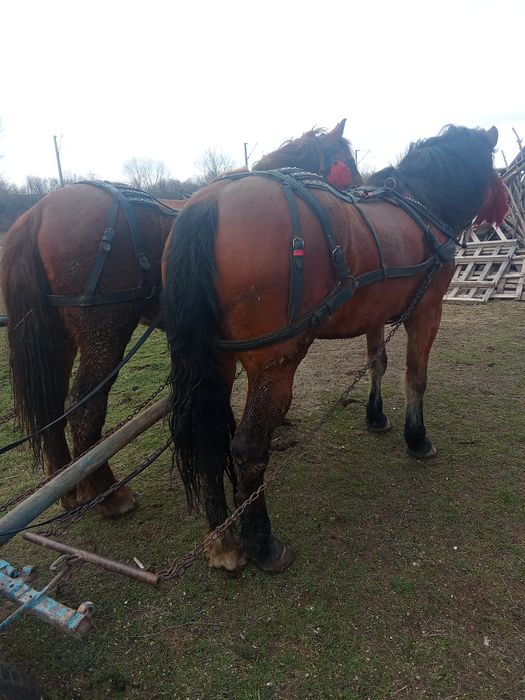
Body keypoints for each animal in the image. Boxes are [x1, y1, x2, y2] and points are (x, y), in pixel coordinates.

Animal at [0, 120, 360, 517]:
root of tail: (37, 213)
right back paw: (109, 495)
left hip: (58, 338)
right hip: (105, 331)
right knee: (84, 407)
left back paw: (71, 490)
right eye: (346, 163)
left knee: (53, 406)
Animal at [162, 125, 508, 574]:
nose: (500, 208)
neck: (423, 202)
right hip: (274, 363)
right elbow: (416, 378)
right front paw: (417, 439)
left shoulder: (376, 314)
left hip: (215, 361)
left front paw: (376, 416)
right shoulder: (427, 312)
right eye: (494, 167)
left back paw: (223, 541)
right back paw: (263, 543)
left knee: (208, 437)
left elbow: (377, 363)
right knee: (247, 448)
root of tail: (209, 203)